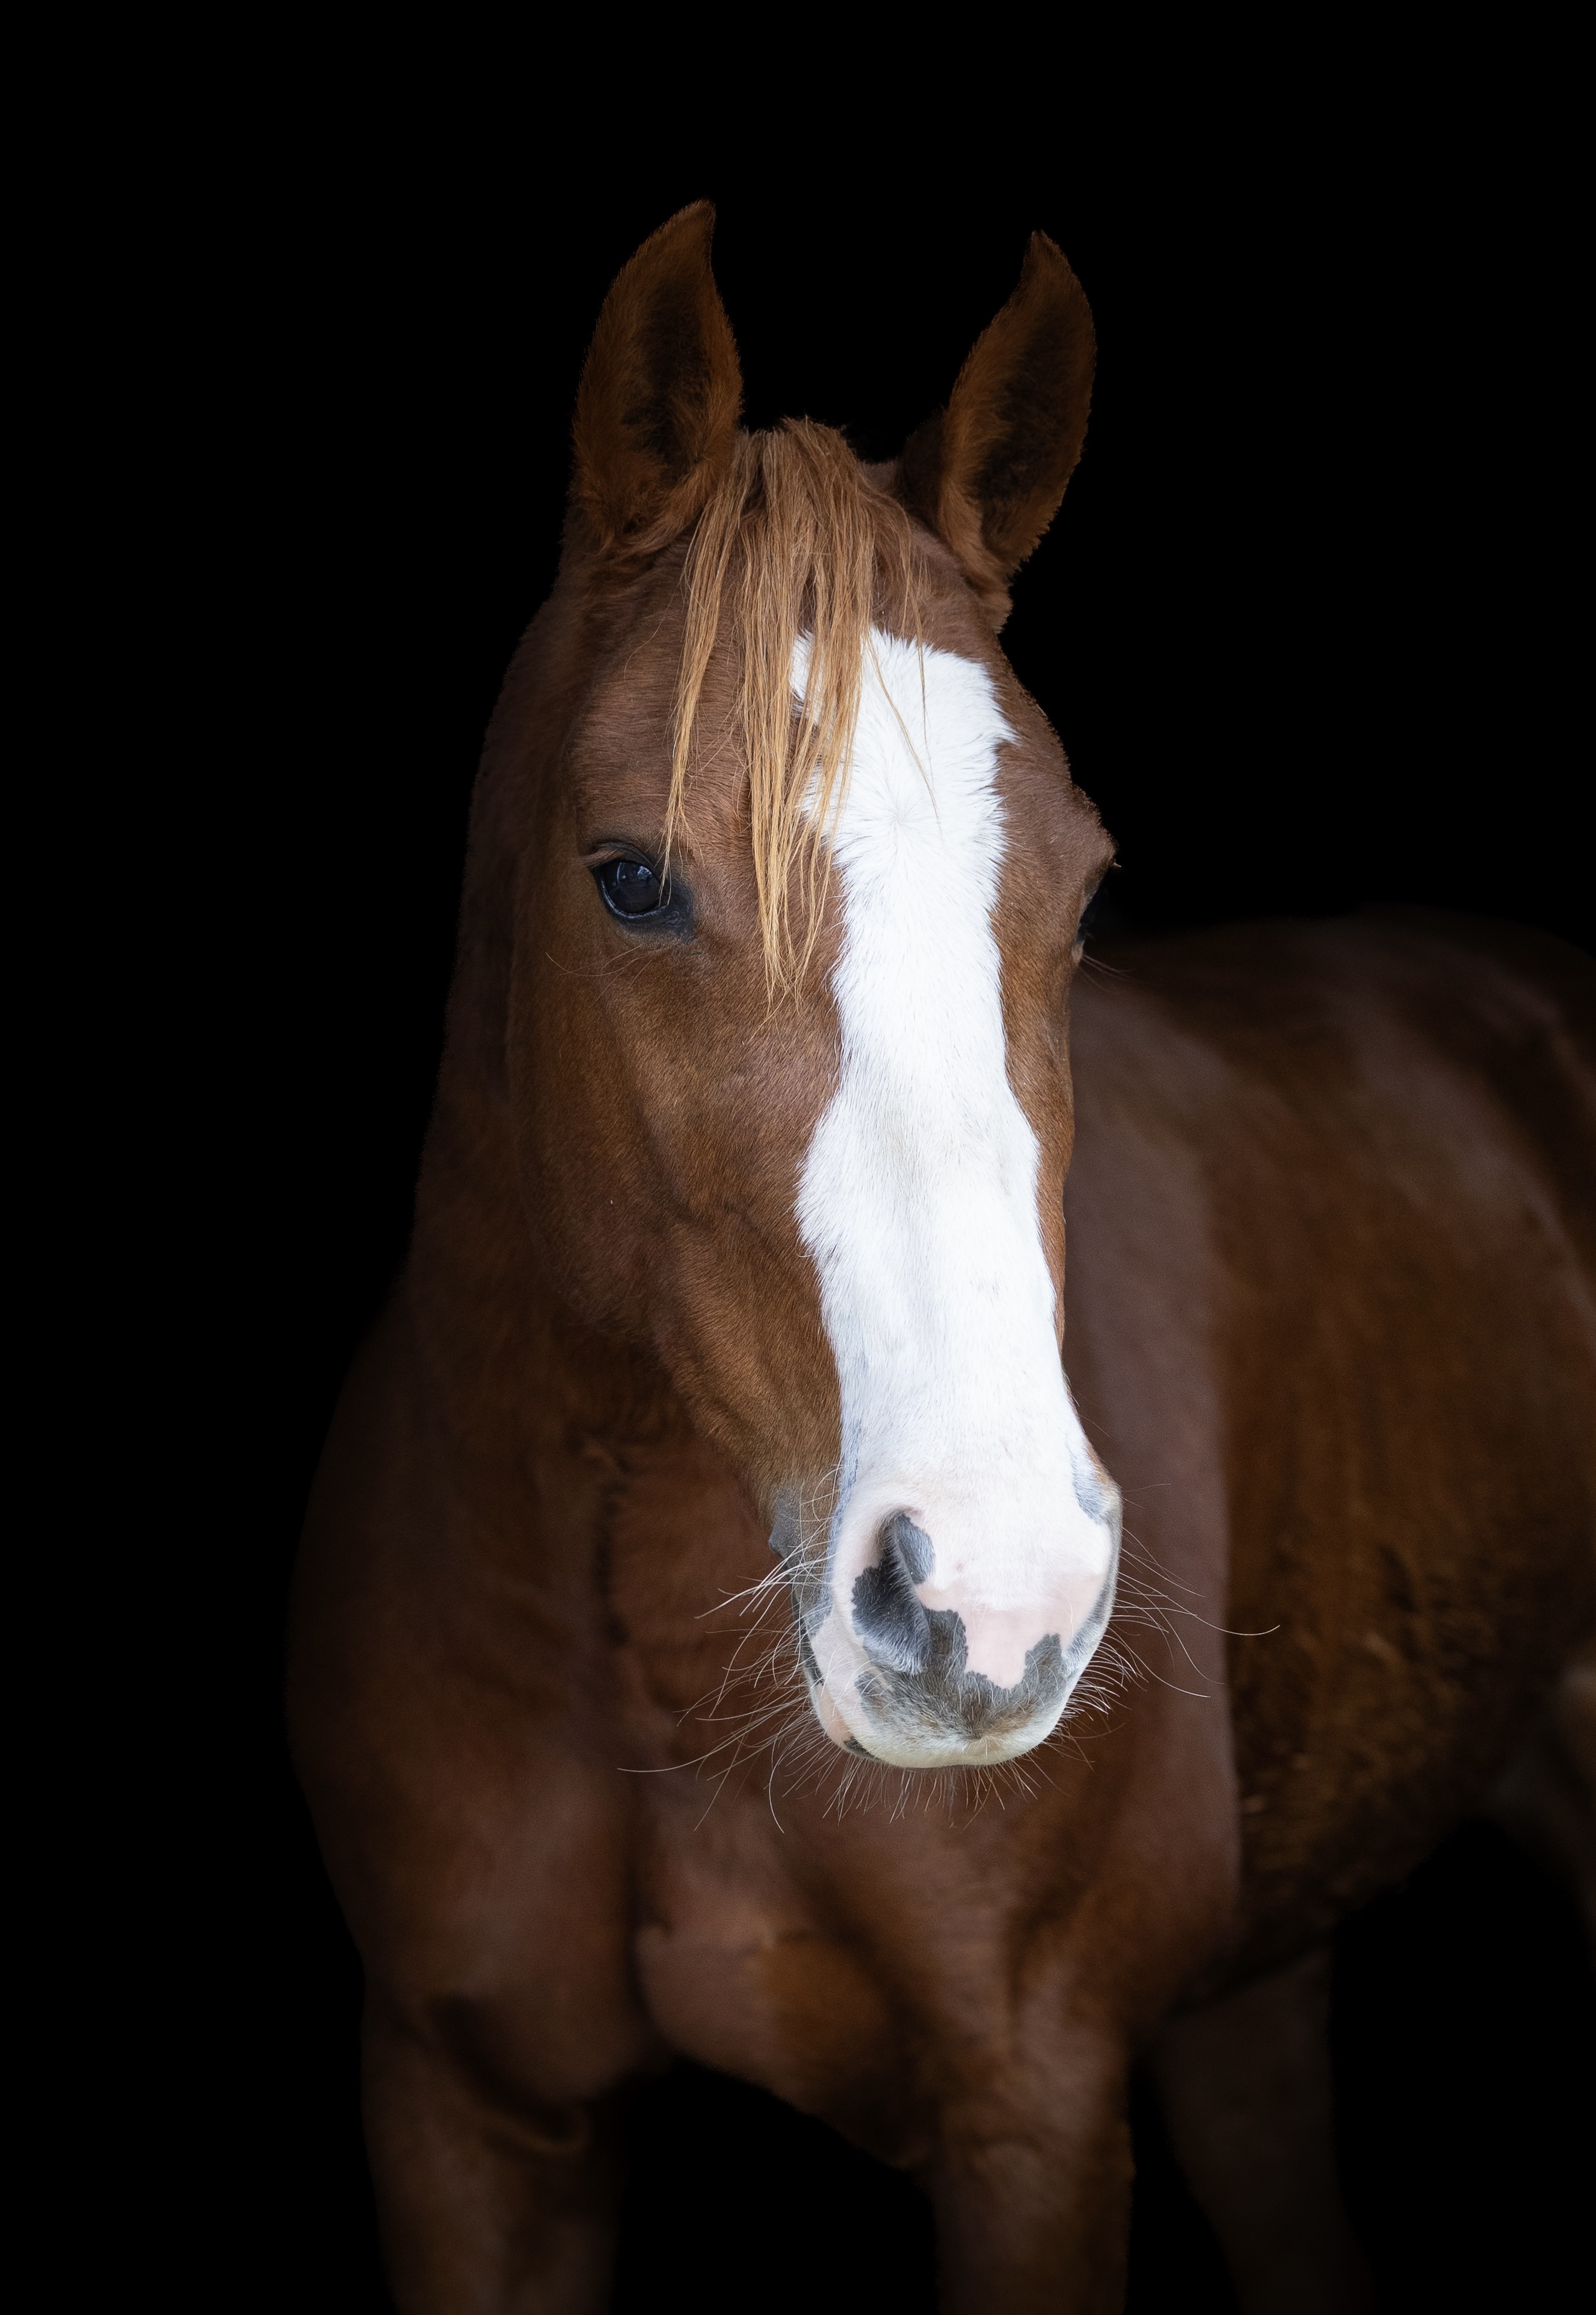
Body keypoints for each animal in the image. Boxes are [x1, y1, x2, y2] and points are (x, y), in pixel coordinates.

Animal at [288, 205, 1596, 2312]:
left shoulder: (1030, 2116)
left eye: (1080, 887)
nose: (992, 1599)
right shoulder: (465, 2112)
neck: (630, 1645)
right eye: (631, 878)